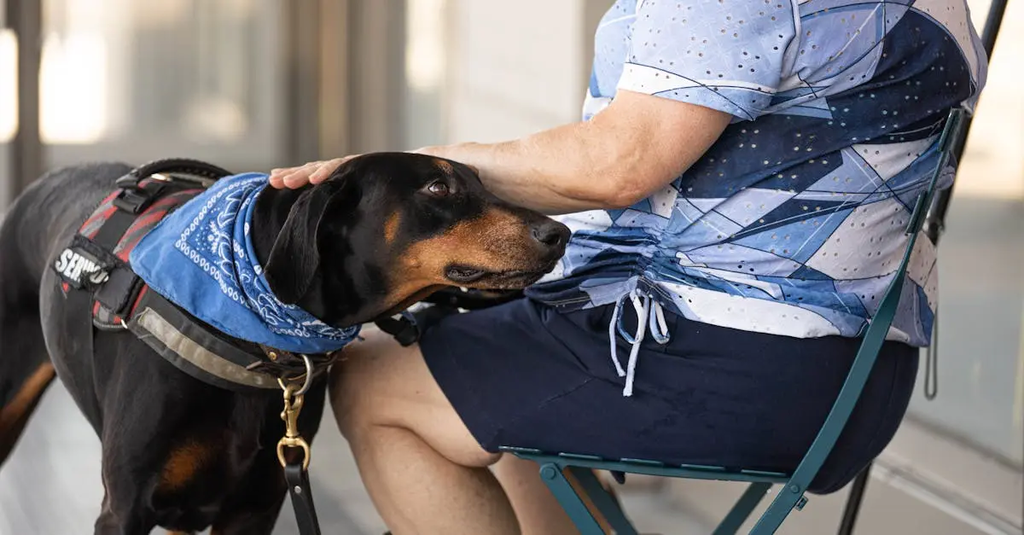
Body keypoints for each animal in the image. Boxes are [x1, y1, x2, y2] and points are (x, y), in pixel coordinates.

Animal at [0, 153, 569, 534]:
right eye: (436, 187)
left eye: (481, 182)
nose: (558, 233)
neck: (250, 333)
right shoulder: (125, 510)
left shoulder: (255, 506)